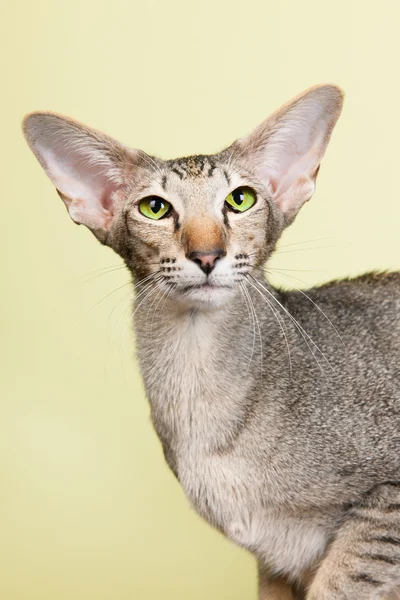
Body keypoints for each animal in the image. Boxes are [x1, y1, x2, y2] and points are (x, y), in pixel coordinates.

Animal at [23, 85, 398, 600]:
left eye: (240, 200)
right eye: (155, 208)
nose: (207, 254)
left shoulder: (387, 501)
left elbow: (343, 583)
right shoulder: (273, 566)